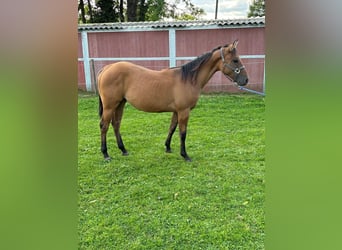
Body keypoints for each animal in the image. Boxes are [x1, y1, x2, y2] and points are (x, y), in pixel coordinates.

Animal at [97, 40, 247, 161]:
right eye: (235, 60)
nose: (245, 80)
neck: (188, 79)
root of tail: (107, 68)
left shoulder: (177, 111)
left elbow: (172, 128)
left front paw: (168, 147)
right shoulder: (184, 111)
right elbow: (182, 133)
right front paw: (185, 155)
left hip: (120, 104)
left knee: (116, 124)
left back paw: (123, 149)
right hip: (110, 106)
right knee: (104, 126)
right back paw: (105, 154)